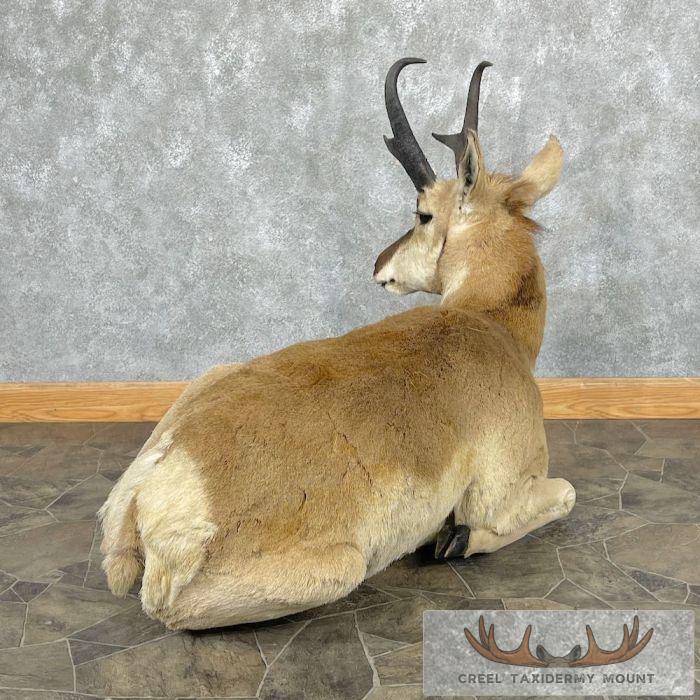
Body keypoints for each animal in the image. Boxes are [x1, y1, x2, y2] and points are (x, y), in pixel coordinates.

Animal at [99, 57, 575, 629]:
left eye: (422, 214)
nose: (379, 266)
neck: (487, 324)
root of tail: (156, 483)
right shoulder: (501, 496)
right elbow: (564, 494)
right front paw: (454, 539)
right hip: (341, 568)